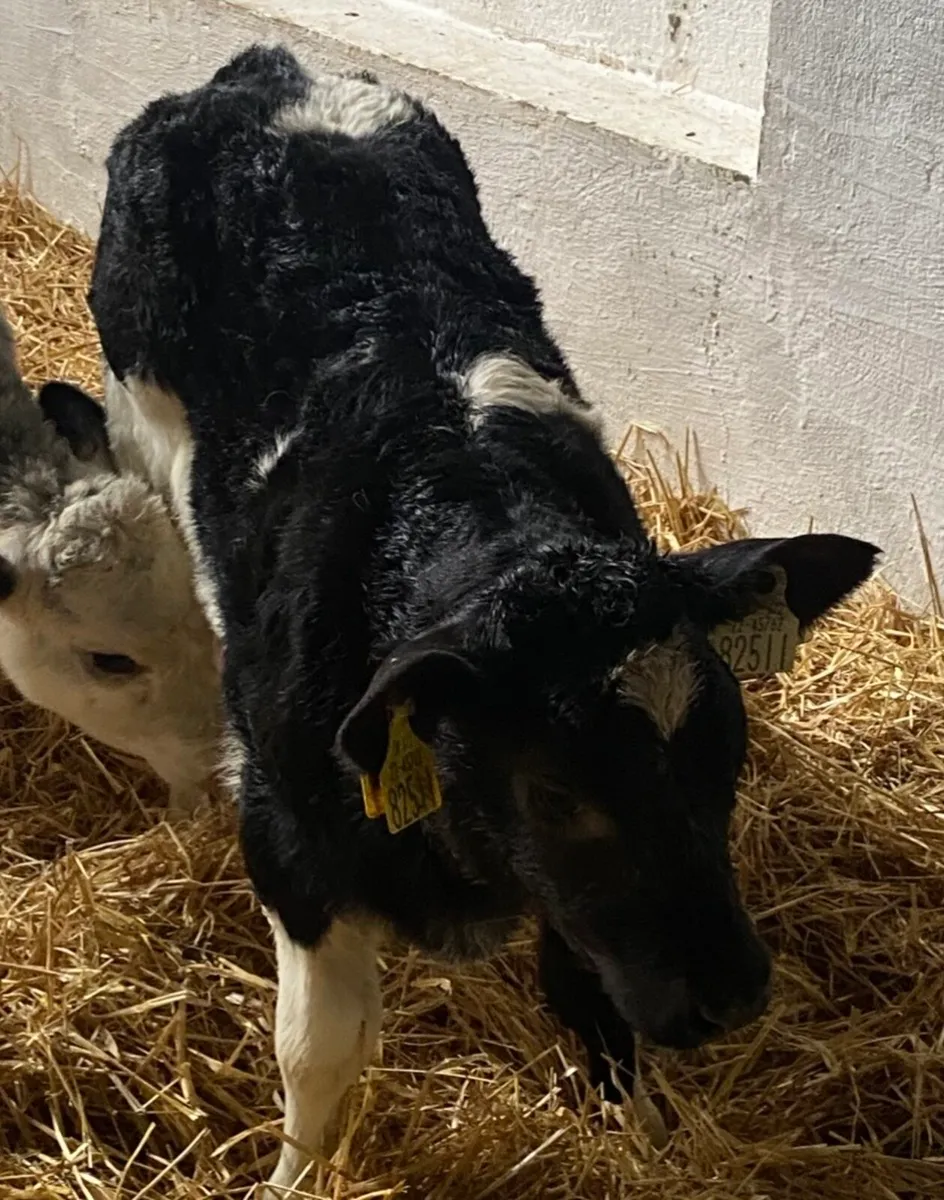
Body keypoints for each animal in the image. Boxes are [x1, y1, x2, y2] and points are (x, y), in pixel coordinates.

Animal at [86, 45, 879, 1193]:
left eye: (724, 752)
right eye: (552, 788)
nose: (730, 994)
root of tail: (265, 67)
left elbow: (593, 998)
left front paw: (642, 1138)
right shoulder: (286, 834)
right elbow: (316, 1049)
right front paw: (293, 1175)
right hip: (136, 407)